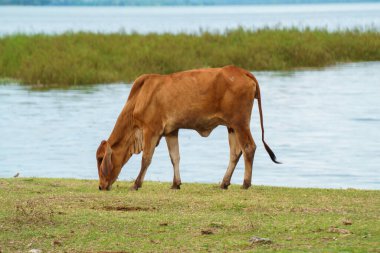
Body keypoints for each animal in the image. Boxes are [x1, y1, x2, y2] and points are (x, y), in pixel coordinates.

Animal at [96, 65, 278, 190]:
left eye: (100, 158)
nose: (101, 186)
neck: (139, 98)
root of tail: (241, 71)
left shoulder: (151, 130)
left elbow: (146, 158)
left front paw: (136, 184)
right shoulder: (171, 131)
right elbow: (175, 157)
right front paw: (176, 184)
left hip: (240, 123)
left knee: (249, 148)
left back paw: (246, 183)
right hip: (231, 126)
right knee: (235, 153)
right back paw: (224, 183)